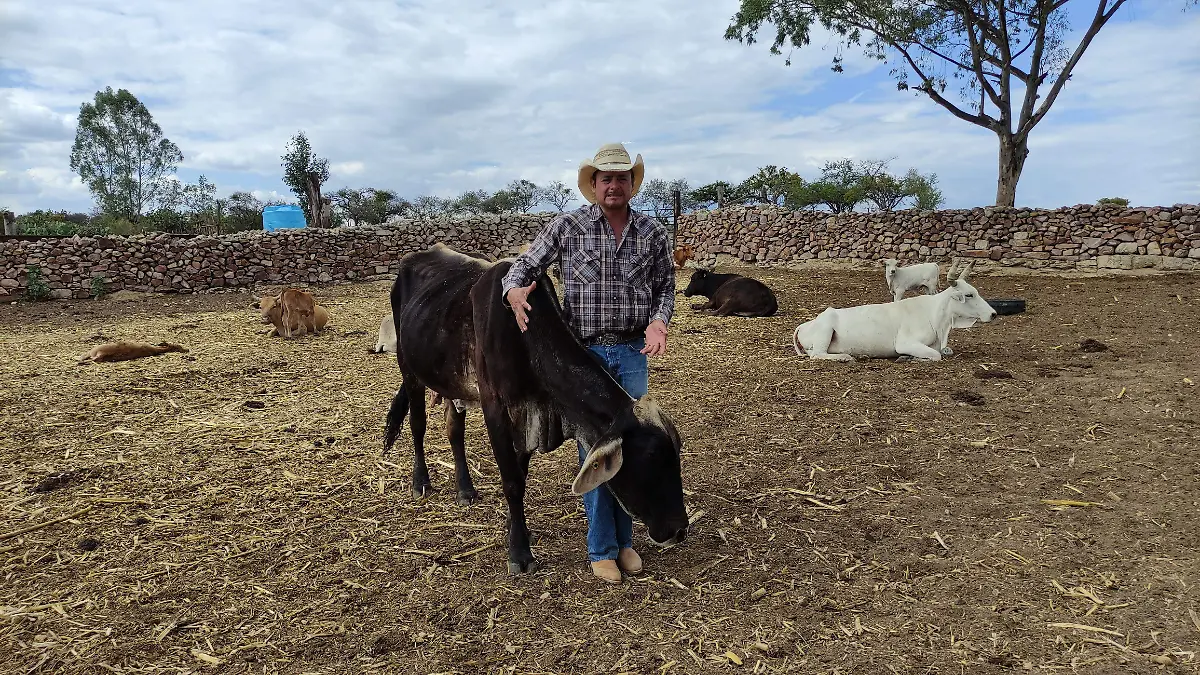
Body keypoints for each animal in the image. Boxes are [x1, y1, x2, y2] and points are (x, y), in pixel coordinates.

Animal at [379, 243, 691, 569]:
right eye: (651, 459)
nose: (680, 530)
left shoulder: (530, 417)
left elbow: (520, 473)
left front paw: (515, 529)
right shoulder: (496, 409)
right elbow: (512, 481)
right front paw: (519, 552)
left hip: (450, 382)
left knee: (454, 430)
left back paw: (464, 489)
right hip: (408, 368)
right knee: (418, 425)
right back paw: (420, 482)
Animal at [792, 271, 998, 360]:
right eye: (969, 295)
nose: (993, 314)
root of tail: (806, 324)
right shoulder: (905, 343)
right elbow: (935, 355)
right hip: (826, 331)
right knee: (817, 355)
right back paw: (845, 357)